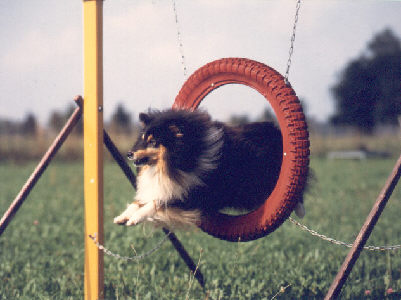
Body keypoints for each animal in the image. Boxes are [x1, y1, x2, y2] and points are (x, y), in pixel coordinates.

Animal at [112, 109, 304, 229]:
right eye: (143, 138)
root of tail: (276, 131)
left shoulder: (193, 194)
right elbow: (143, 200)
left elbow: (157, 202)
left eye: (153, 141)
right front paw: (122, 217)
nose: (128, 154)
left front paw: (135, 218)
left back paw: (300, 210)